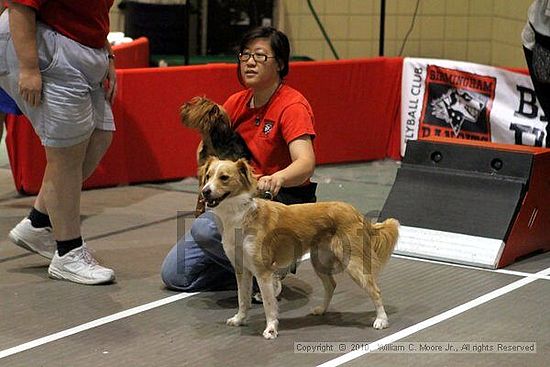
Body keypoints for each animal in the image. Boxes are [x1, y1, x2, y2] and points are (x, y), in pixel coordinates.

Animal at [201, 157, 398, 340]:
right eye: (208, 176)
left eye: (224, 177)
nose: (205, 191)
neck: (240, 214)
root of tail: (356, 213)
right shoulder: (242, 269)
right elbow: (242, 298)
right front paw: (239, 319)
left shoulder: (263, 272)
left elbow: (268, 304)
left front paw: (270, 329)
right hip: (320, 262)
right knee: (331, 285)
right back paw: (321, 310)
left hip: (353, 264)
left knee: (374, 290)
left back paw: (381, 320)